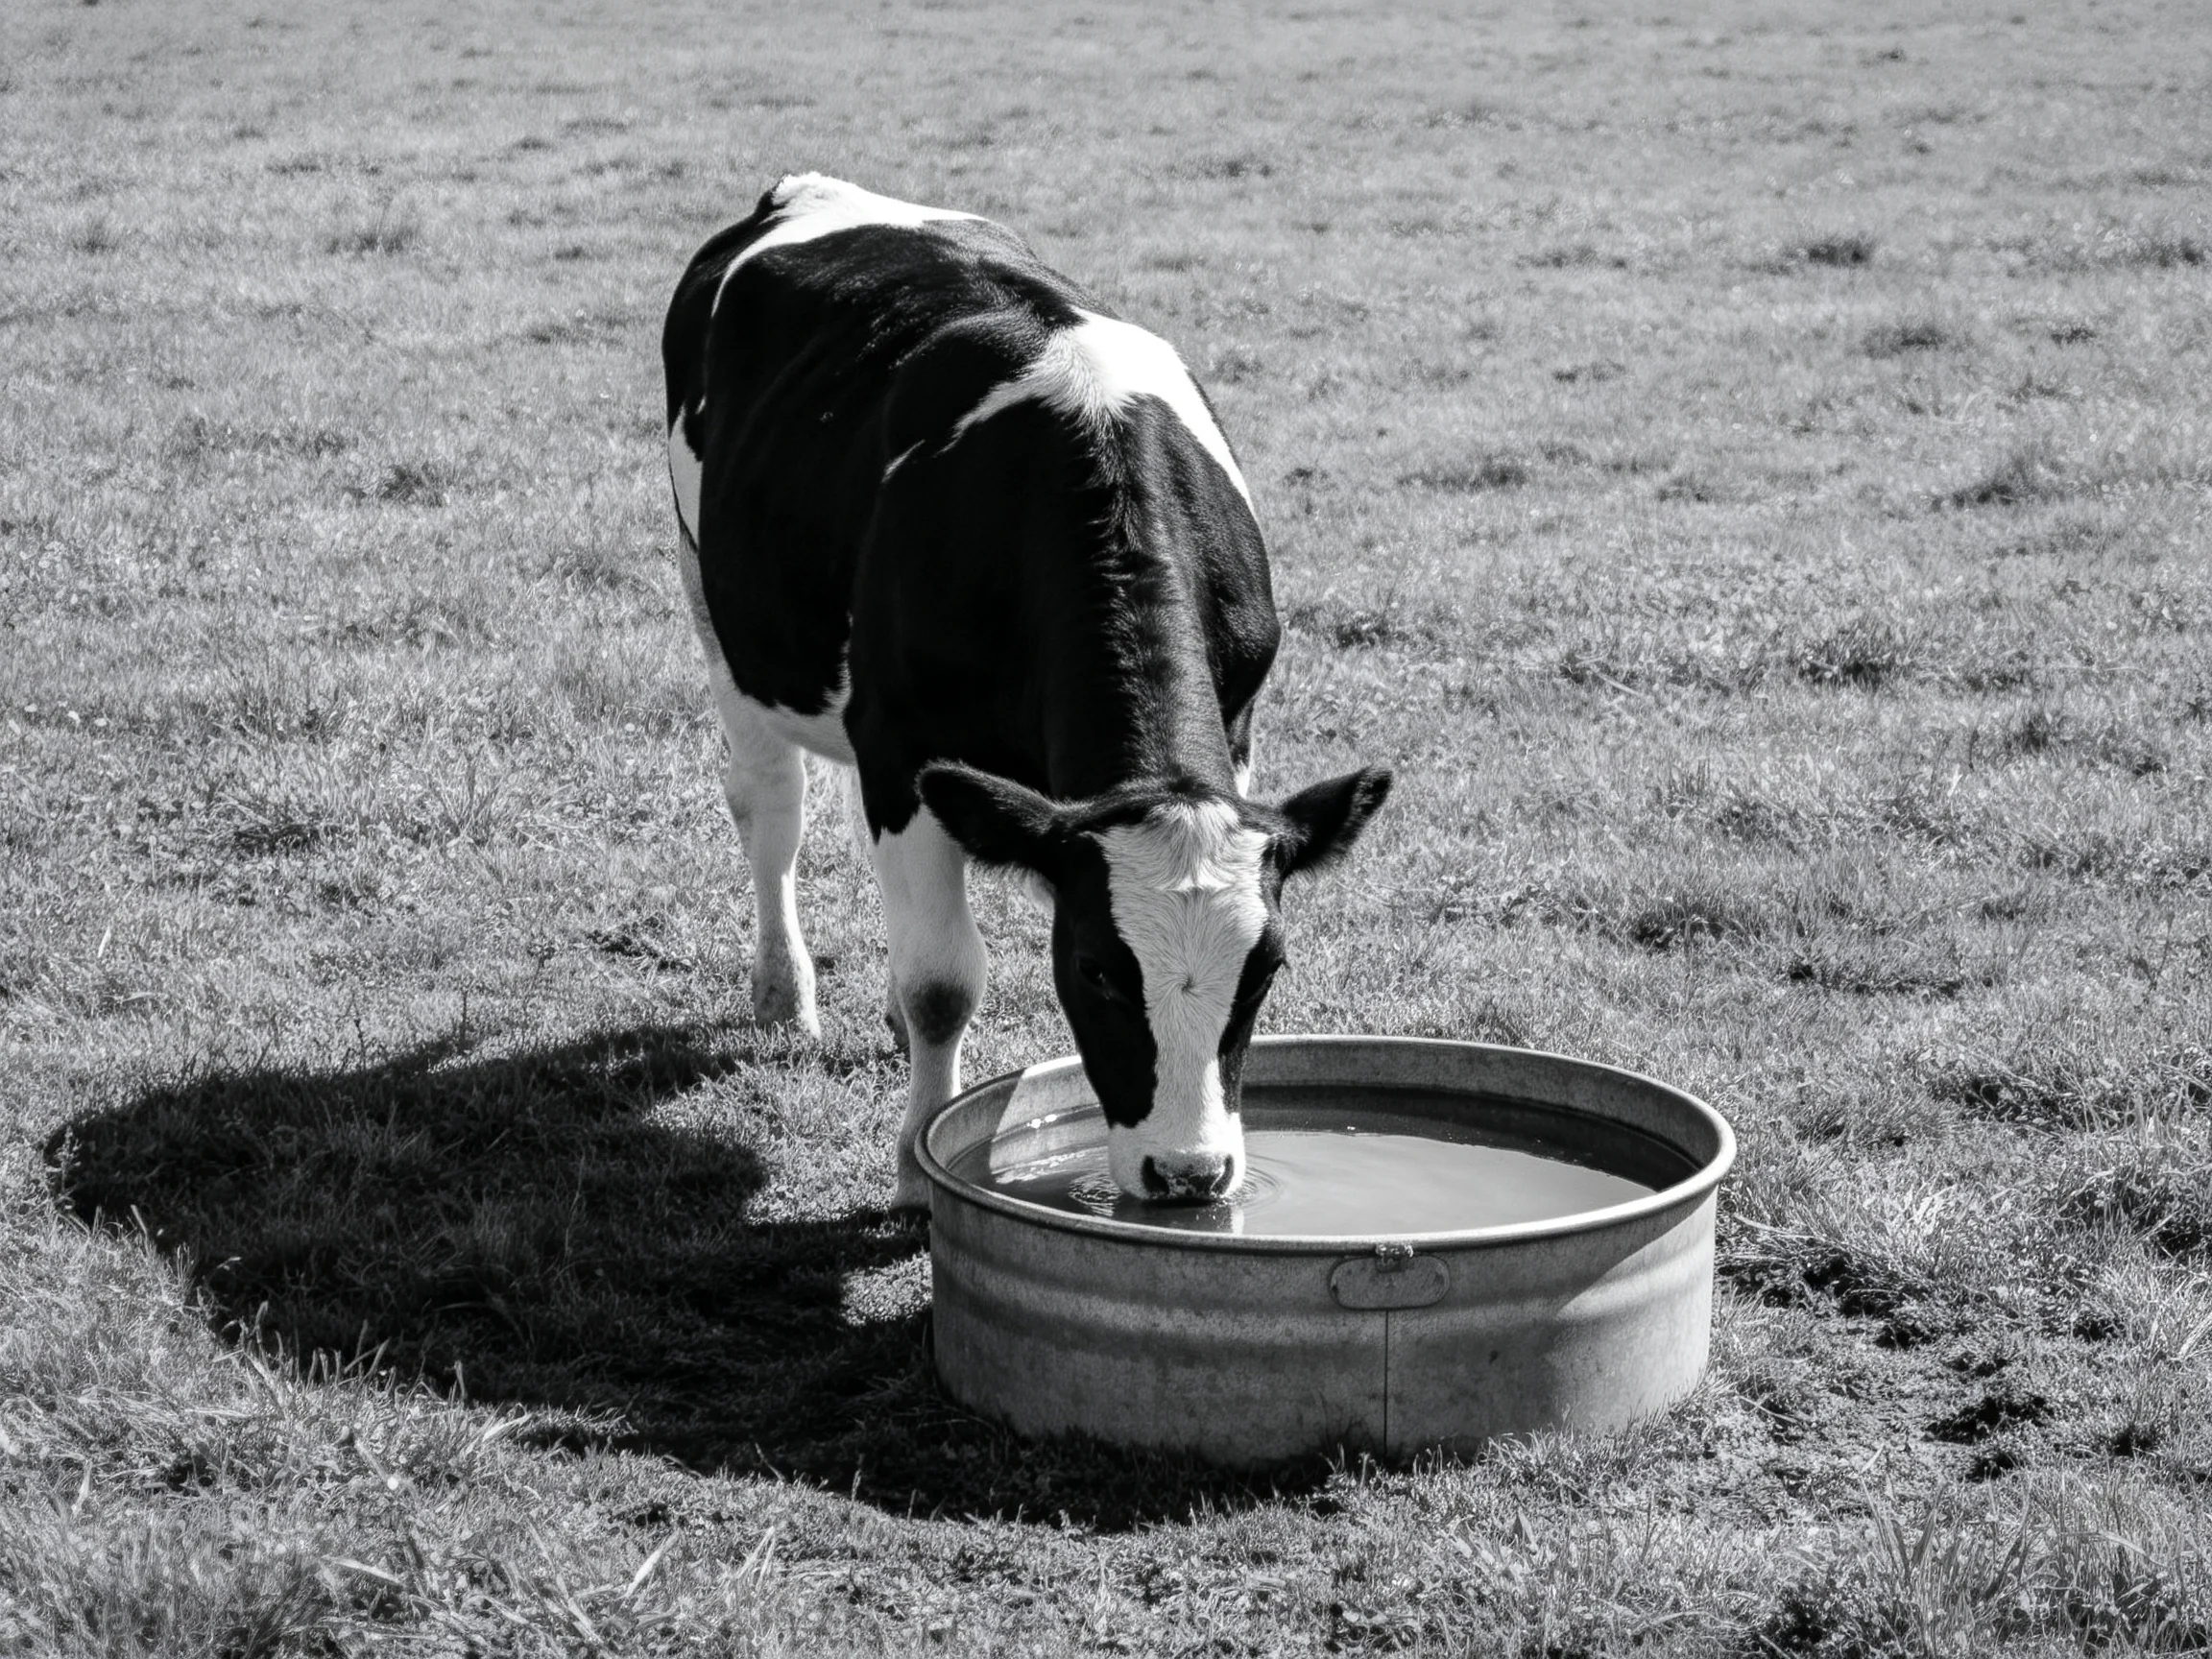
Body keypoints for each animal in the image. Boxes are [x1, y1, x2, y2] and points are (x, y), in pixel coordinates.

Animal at [662, 174, 1390, 1211]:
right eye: (1096, 970)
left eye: (1265, 969)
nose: (1190, 1175)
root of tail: (809, 190)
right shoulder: (904, 740)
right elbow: (943, 982)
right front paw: (916, 1170)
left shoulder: (1233, 725)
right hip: (716, 604)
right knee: (771, 809)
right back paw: (782, 992)